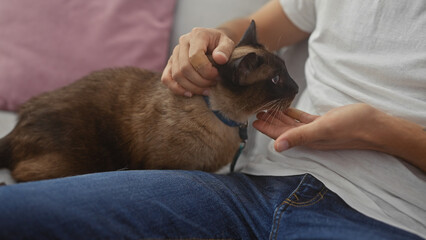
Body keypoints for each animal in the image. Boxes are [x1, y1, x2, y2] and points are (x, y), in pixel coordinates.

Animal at [0, 21, 298, 182]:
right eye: (276, 80)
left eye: (286, 71)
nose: (296, 88)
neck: (225, 121)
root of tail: (19, 123)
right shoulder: (168, 166)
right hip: (81, 164)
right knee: (20, 174)